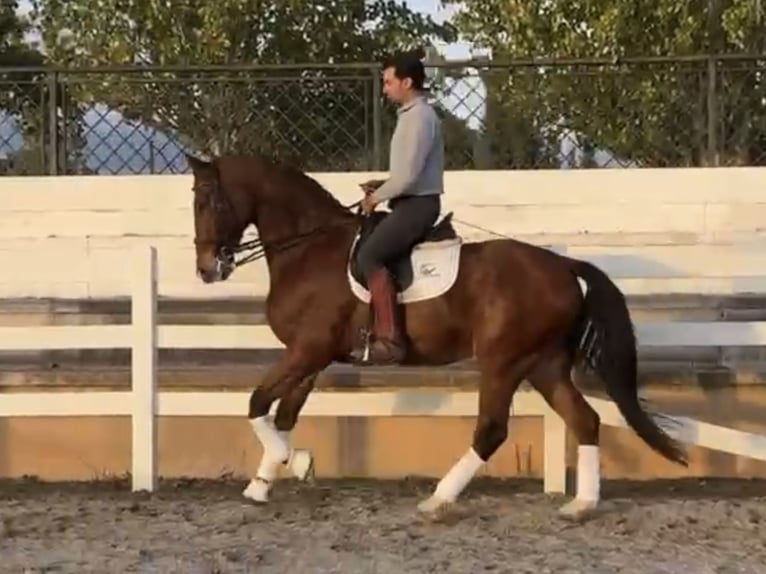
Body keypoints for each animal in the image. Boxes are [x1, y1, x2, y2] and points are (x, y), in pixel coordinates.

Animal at [185, 151, 688, 520]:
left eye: (209, 201)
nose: (208, 269)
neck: (310, 249)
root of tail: (564, 266)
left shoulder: (308, 350)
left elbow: (256, 403)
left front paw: (292, 463)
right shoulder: (311, 356)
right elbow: (284, 412)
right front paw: (267, 479)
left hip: (504, 361)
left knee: (492, 429)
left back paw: (439, 500)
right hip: (544, 364)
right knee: (585, 420)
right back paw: (581, 504)